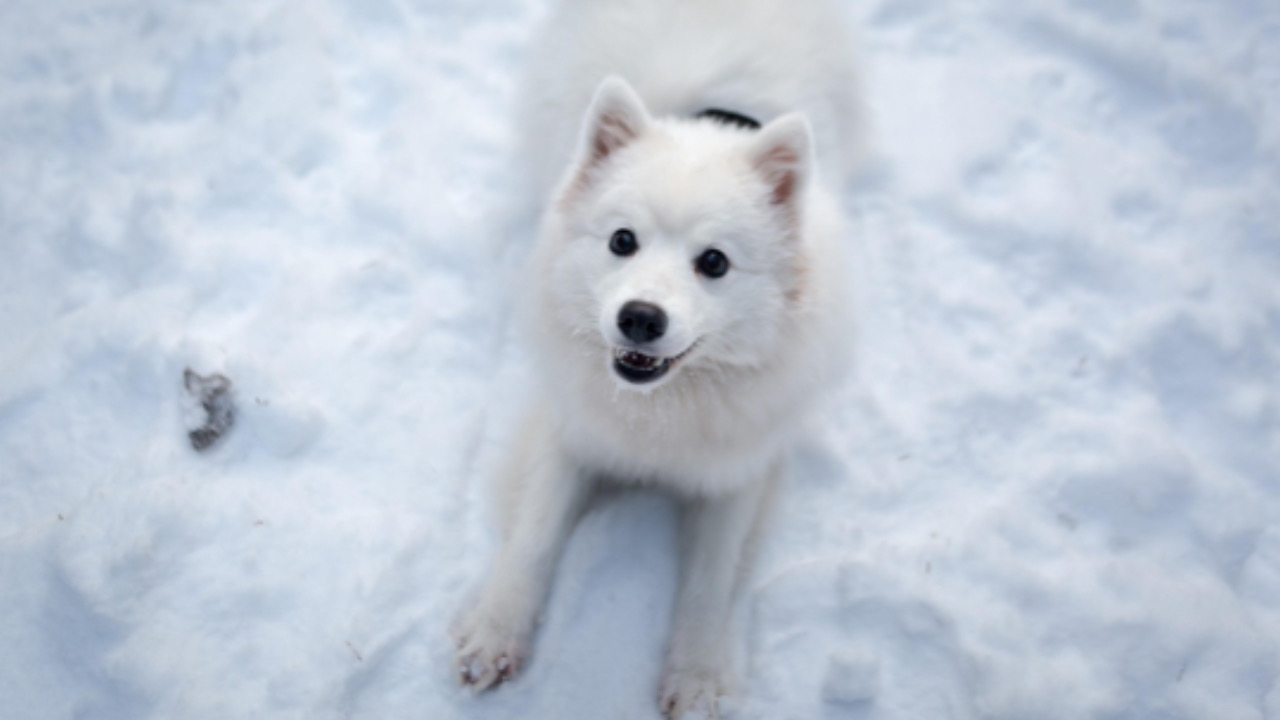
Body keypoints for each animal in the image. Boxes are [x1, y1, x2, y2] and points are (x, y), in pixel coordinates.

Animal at [450, 0, 860, 712]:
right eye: (622, 241)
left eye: (714, 262)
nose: (639, 317)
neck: (659, 413)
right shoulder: (569, 432)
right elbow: (533, 536)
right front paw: (495, 633)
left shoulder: (738, 472)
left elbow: (710, 582)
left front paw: (694, 678)